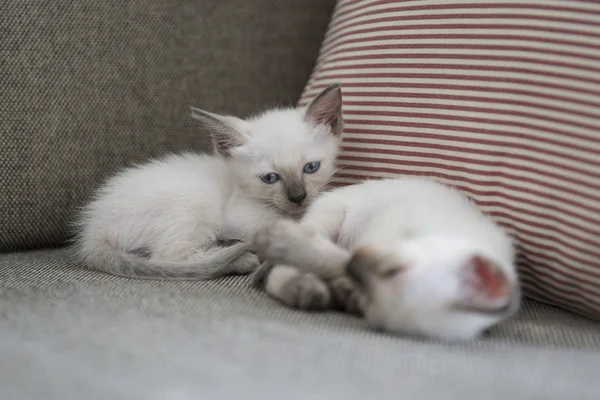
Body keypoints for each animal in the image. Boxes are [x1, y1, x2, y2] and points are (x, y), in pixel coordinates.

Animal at [72, 83, 342, 280]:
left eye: (311, 167)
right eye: (270, 178)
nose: (298, 197)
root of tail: (93, 229)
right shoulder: (240, 217)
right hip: (197, 201)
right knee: (166, 256)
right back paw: (241, 259)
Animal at [253, 178, 520, 340]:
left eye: (370, 309)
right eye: (394, 269)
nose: (356, 267)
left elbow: (340, 267)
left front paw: (346, 291)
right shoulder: (390, 223)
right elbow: (334, 260)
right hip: (330, 216)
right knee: (281, 268)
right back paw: (301, 286)